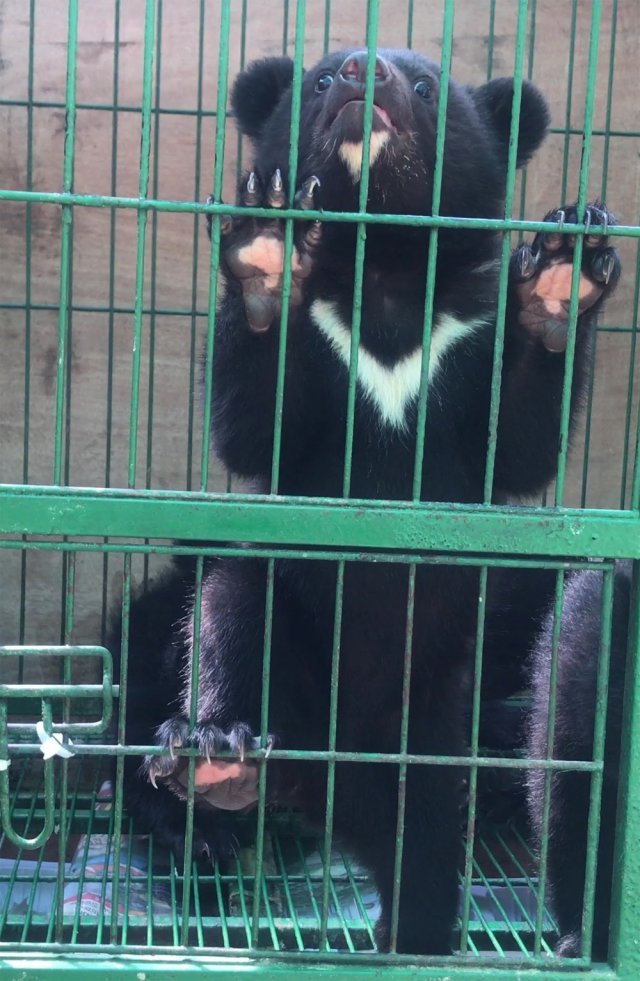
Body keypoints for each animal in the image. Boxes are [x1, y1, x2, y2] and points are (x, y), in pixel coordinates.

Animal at [119, 49, 620, 952]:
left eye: (424, 87)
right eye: (320, 81)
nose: (365, 68)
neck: (385, 264)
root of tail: (329, 781)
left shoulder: (466, 342)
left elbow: (519, 439)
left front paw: (565, 264)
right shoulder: (322, 349)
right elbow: (252, 430)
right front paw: (265, 249)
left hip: (431, 744)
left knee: (424, 856)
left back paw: (406, 931)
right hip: (286, 645)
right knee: (231, 607)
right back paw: (217, 757)